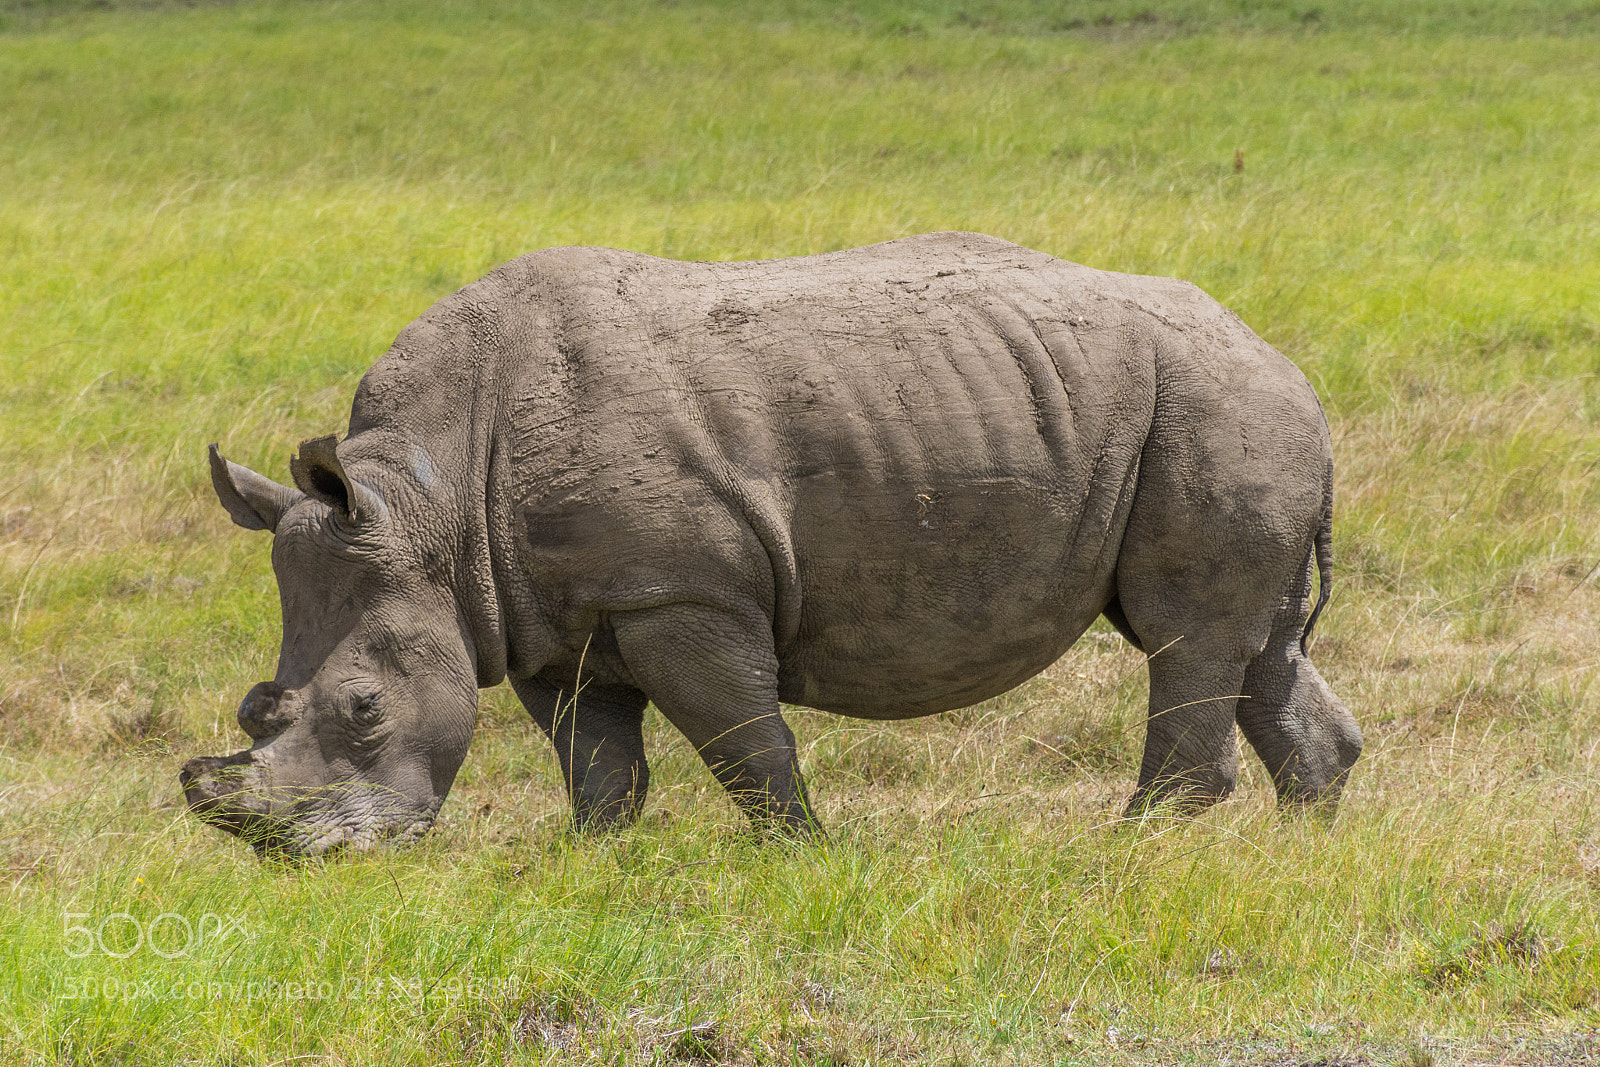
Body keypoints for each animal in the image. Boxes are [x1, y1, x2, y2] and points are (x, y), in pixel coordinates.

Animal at [180, 231, 1361, 856]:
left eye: (363, 709)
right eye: (253, 709)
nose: (304, 859)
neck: (427, 496)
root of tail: (1286, 361)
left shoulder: (677, 590)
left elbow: (745, 738)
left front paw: (801, 856)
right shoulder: (542, 614)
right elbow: (597, 758)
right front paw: (596, 861)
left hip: (1215, 404)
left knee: (1182, 634)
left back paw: (1131, 851)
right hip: (1213, 410)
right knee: (1257, 643)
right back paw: (1303, 851)